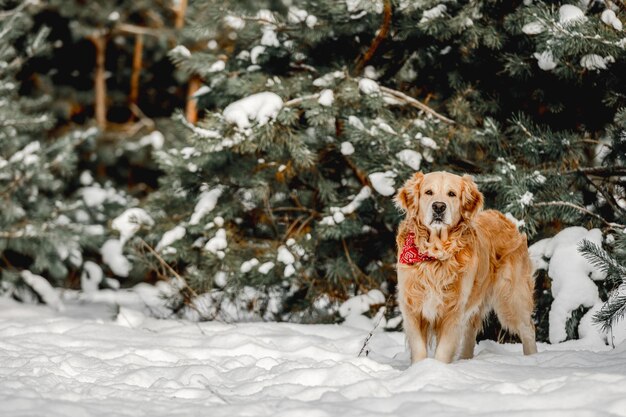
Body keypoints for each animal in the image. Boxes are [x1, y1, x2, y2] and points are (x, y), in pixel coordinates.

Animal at [394, 170, 536, 360]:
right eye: (428, 192)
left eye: (452, 194)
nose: (438, 207)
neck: (435, 254)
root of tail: (506, 218)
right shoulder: (412, 307)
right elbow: (419, 349)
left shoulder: (454, 310)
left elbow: (443, 351)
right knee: (470, 333)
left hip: (512, 296)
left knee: (528, 329)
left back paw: (532, 358)